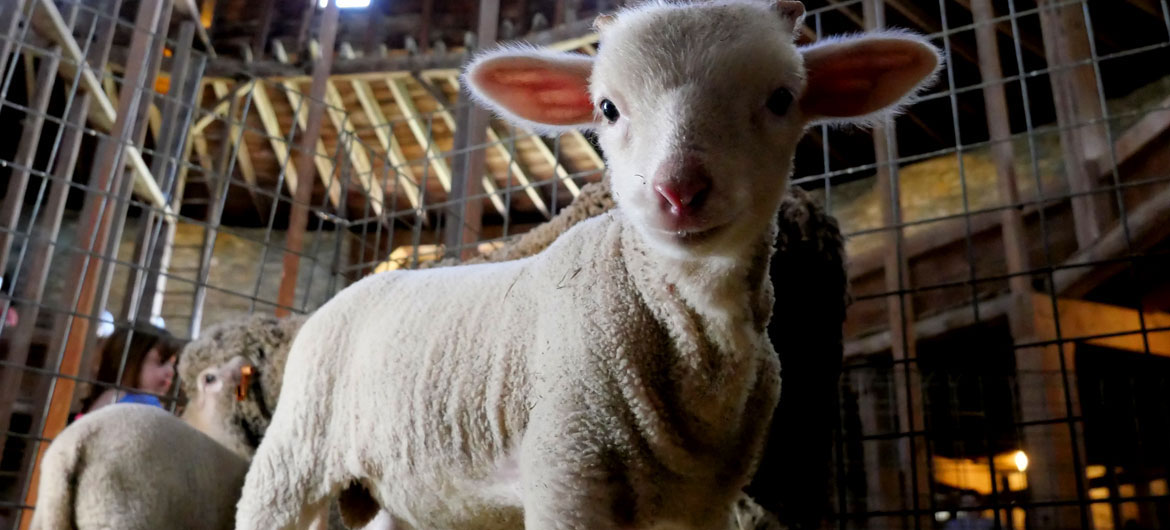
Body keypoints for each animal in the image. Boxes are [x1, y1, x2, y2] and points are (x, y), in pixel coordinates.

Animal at [235, 1, 939, 529]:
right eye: (607, 107)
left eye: (780, 99)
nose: (678, 191)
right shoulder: (567, 463)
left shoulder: (709, 500)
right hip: (293, 453)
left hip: (408, 492)